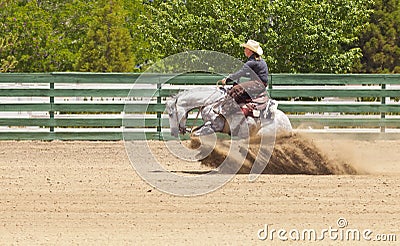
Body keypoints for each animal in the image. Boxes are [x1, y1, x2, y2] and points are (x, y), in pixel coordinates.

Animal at [164, 86, 292, 138]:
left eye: (170, 114)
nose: (173, 133)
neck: (211, 103)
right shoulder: (206, 124)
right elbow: (195, 131)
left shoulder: (215, 126)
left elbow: (196, 134)